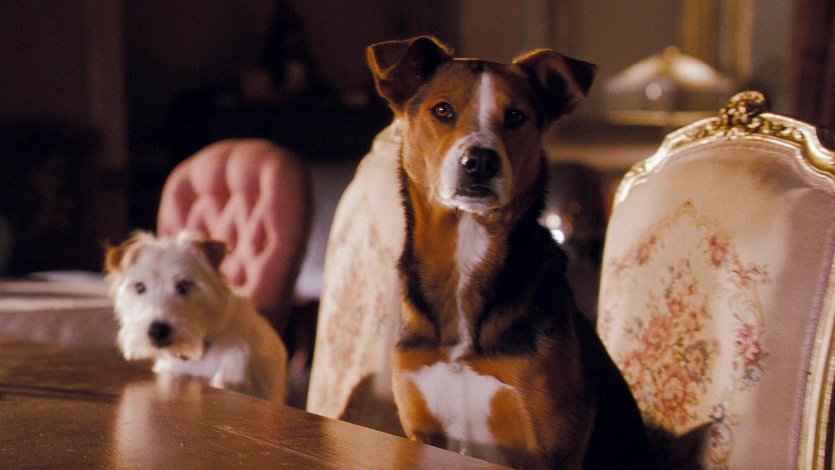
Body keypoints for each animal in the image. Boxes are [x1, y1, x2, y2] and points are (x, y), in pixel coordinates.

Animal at [367, 36, 653, 469]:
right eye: (442, 110)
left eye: (516, 116)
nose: (480, 161)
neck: (466, 252)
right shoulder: (421, 431)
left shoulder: (550, 446)